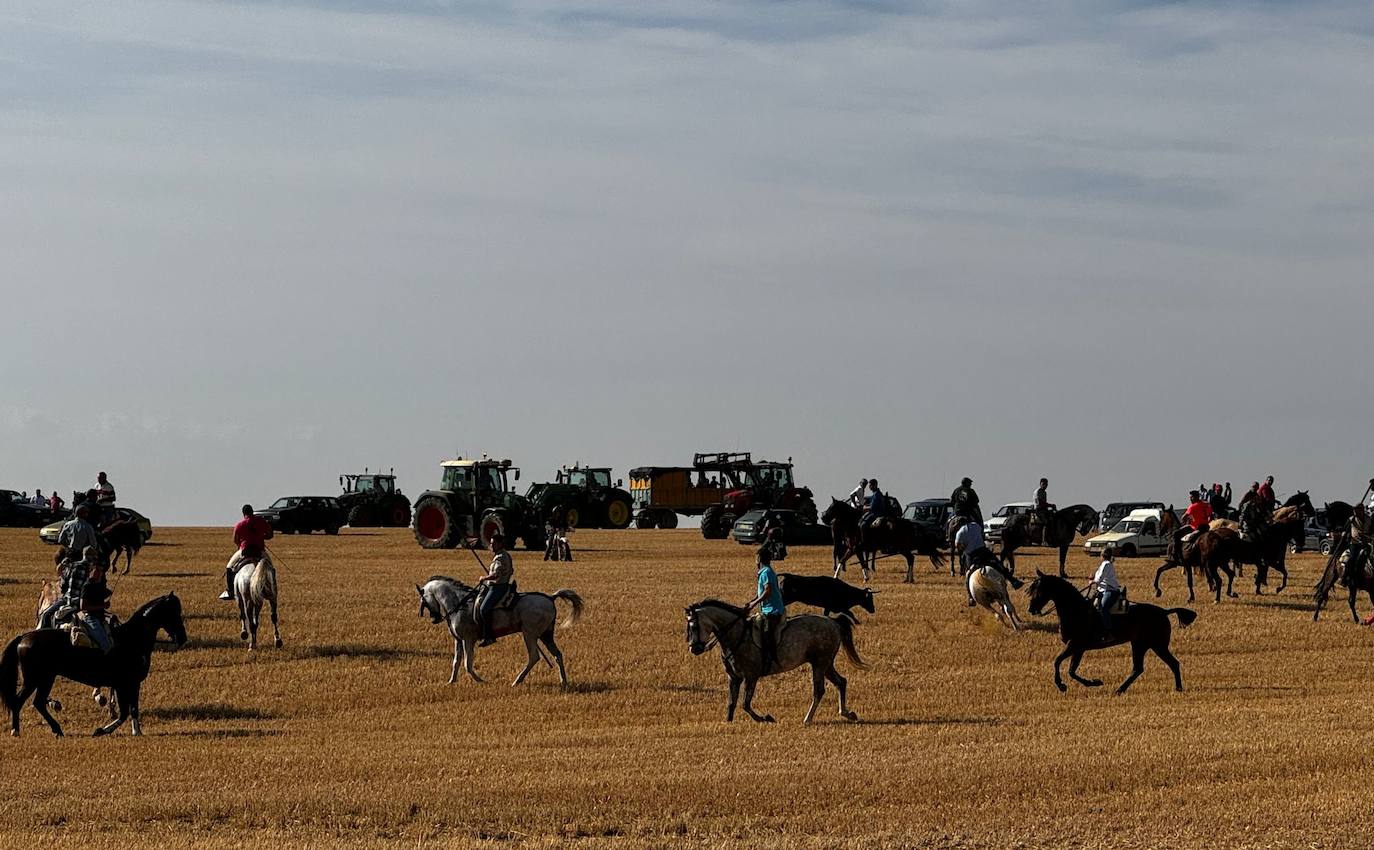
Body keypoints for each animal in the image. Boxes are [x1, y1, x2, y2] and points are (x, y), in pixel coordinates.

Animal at [2, 593, 188, 736]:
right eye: (173, 612)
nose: (182, 638)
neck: (132, 639)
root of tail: (24, 637)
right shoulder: (124, 684)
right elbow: (125, 712)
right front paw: (102, 731)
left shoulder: (130, 684)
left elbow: (132, 709)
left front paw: (136, 732)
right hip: (37, 679)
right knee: (22, 701)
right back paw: (17, 731)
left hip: (44, 679)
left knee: (37, 702)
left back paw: (54, 729)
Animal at [409, 573, 577, 689]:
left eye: (423, 601)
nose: (434, 619)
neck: (459, 604)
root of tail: (551, 598)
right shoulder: (458, 640)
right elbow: (456, 662)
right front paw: (451, 681)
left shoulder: (468, 640)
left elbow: (467, 664)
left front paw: (480, 680)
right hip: (546, 635)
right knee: (557, 655)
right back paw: (563, 682)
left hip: (530, 634)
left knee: (534, 656)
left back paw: (517, 681)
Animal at [684, 598, 862, 725]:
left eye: (693, 626)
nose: (694, 649)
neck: (735, 635)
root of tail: (833, 622)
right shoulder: (733, 677)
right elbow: (731, 703)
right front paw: (728, 723)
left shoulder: (751, 676)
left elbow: (745, 704)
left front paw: (766, 718)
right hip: (825, 663)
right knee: (841, 682)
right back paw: (847, 713)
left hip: (820, 663)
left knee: (819, 690)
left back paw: (807, 719)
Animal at [813, 499, 945, 584]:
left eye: (832, 507)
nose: (823, 517)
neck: (853, 523)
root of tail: (908, 523)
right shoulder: (853, 549)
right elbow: (848, 560)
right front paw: (837, 577)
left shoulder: (855, 548)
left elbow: (855, 561)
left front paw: (864, 578)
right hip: (902, 548)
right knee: (910, 559)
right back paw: (908, 579)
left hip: (901, 547)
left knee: (910, 558)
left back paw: (909, 579)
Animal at [1027, 571, 1198, 697]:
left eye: (1038, 589)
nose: (1031, 609)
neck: (1076, 610)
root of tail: (1164, 611)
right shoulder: (1078, 648)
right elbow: (1071, 670)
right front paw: (1093, 682)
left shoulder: (1074, 645)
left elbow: (1058, 663)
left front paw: (1064, 685)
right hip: (1139, 644)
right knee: (1138, 668)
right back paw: (1120, 690)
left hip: (1157, 645)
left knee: (1173, 663)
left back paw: (1178, 688)